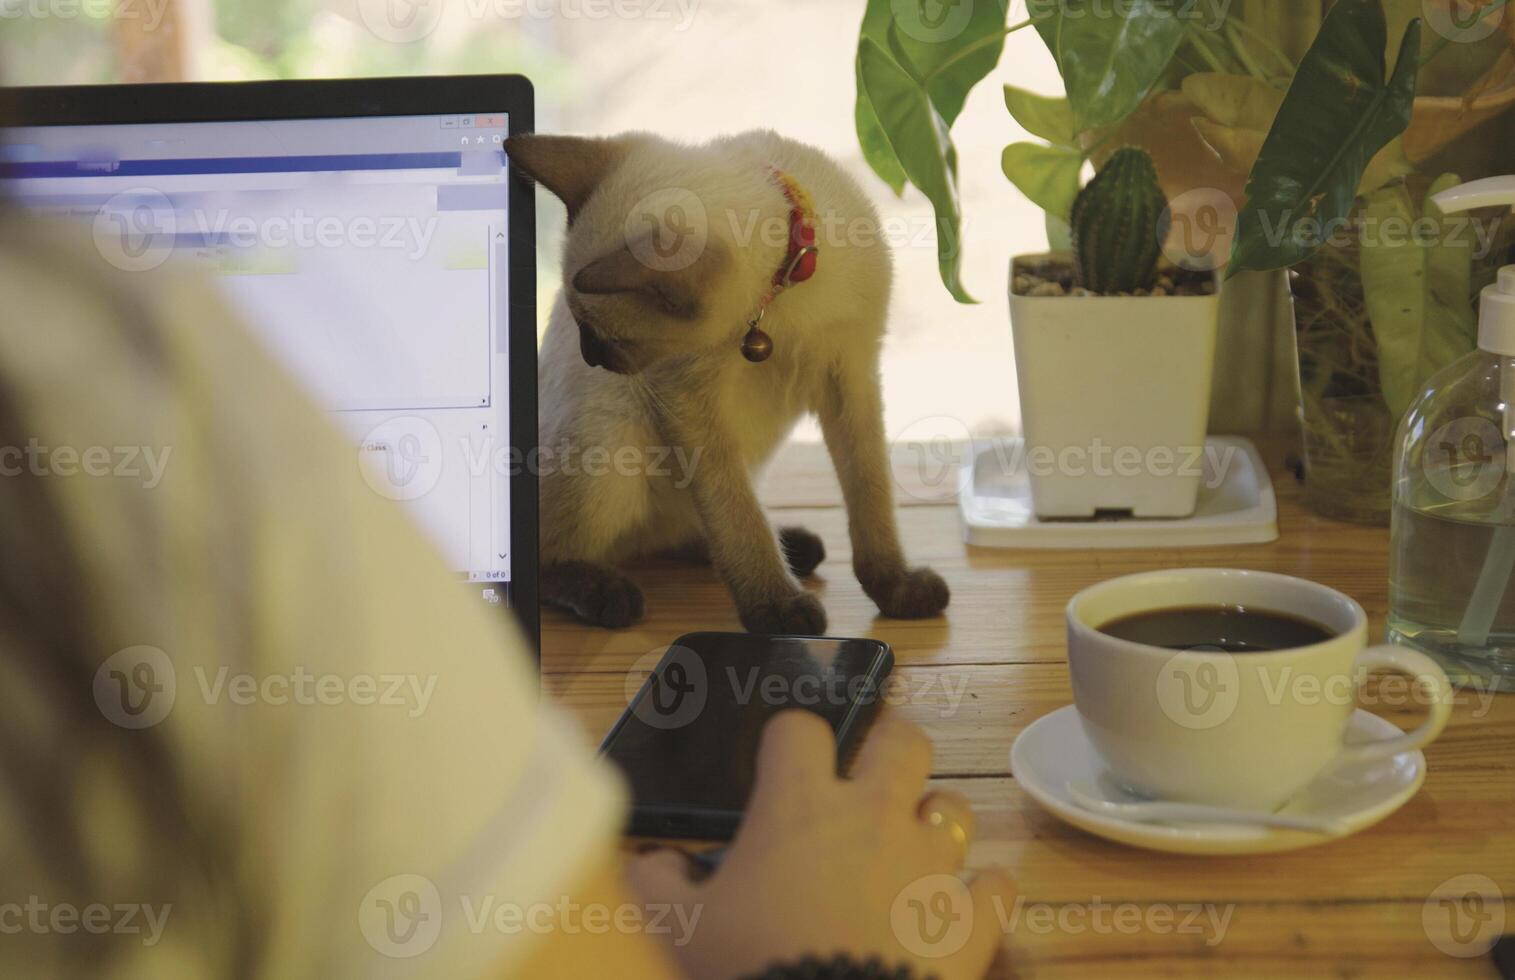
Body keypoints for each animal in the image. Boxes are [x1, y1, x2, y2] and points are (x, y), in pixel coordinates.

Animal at [509, 130, 945, 636]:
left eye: (601, 336)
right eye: (582, 328)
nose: (590, 356)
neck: (780, 295)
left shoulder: (853, 375)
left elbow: (870, 496)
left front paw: (896, 589)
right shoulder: (687, 402)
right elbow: (738, 516)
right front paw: (776, 610)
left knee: (683, 531)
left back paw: (792, 547)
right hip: (610, 445)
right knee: (555, 556)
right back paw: (610, 596)